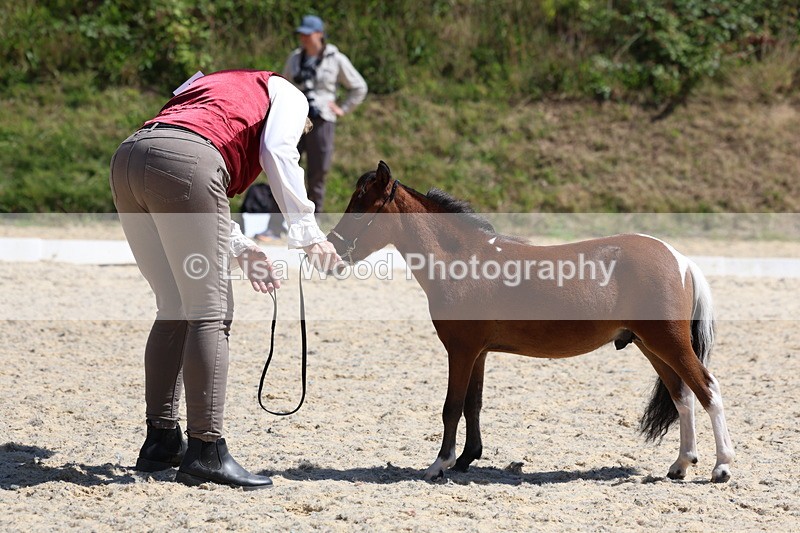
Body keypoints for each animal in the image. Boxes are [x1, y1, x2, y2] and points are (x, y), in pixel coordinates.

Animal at [328, 161, 734, 483]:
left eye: (360, 208)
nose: (332, 253)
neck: (463, 260)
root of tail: (679, 258)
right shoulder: (478, 353)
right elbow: (473, 404)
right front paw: (466, 459)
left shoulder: (461, 351)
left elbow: (451, 406)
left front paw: (439, 465)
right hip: (653, 347)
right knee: (683, 396)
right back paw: (681, 465)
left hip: (669, 343)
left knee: (707, 389)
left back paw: (722, 467)